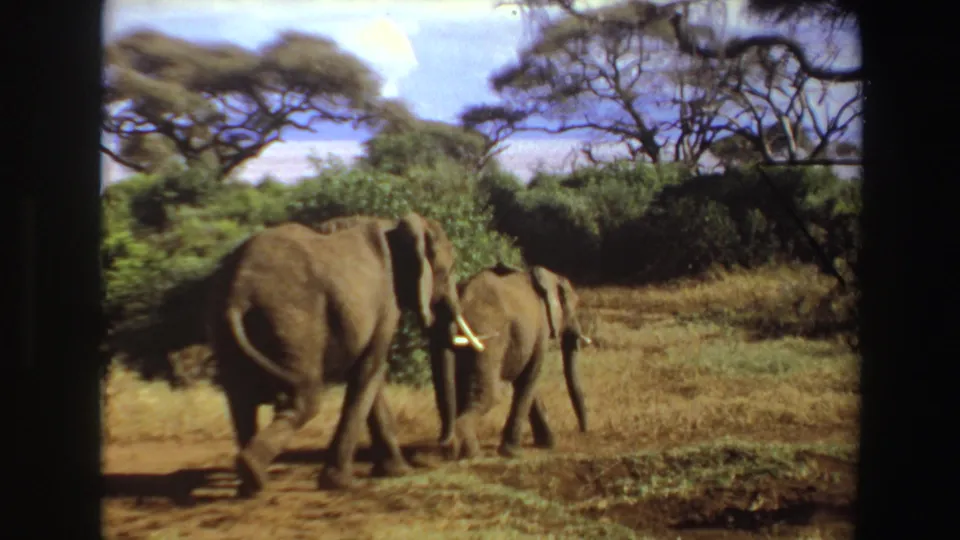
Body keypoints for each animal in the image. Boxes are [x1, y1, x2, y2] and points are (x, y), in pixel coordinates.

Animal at [204, 213, 486, 497]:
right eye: (448, 271)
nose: (446, 448)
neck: (395, 226)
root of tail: (238, 292)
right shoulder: (386, 302)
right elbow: (370, 371)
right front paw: (343, 484)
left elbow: (369, 378)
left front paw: (396, 471)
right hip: (293, 320)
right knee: (304, 399)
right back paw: (254, 473)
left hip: (226, 328)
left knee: (240, 401)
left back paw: (249, 485)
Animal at [428, 262, 590, 461]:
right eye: (573, 307)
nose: (583, 431)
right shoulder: (541, 328)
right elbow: (529, 377)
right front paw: (513, 452)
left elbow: (524, 380)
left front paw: (546, 444)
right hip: (488, 333)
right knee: (488, 395)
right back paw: (471, 452)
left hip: (440, 337)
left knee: (447, 391)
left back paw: (451, 449)